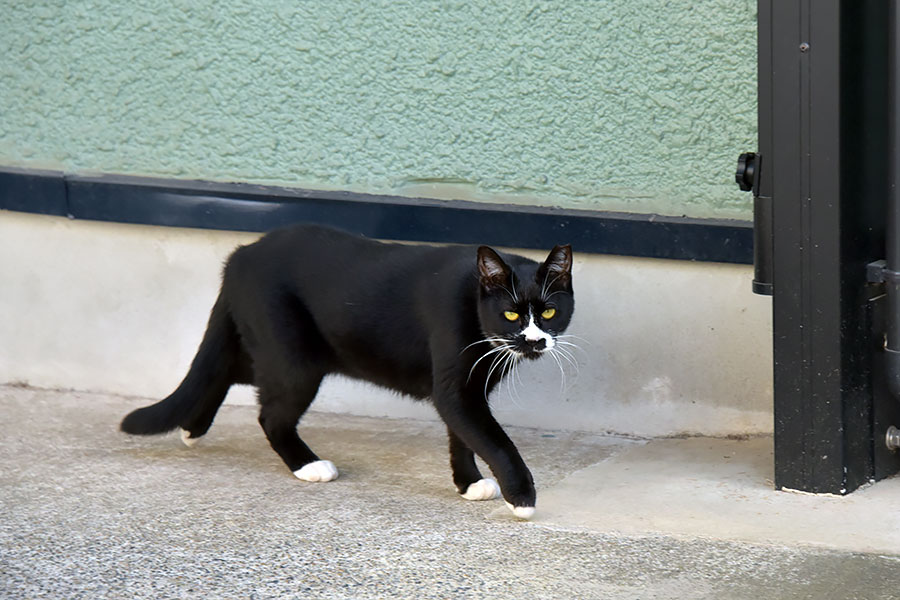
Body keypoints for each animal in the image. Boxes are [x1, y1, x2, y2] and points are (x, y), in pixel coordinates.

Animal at [119, 224, 572, 516]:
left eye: (549, 312)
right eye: (511, 313)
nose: (534, 340)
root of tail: (241, 254)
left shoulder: (470, 388)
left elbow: (463, 435)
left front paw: (467, 482)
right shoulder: (456, 388)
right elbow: (493, 440)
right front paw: (522, 496)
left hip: (272, 348)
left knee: (226, 370)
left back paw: (192, 426)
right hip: (293, 359)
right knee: (270, 413)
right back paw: (307, 465)